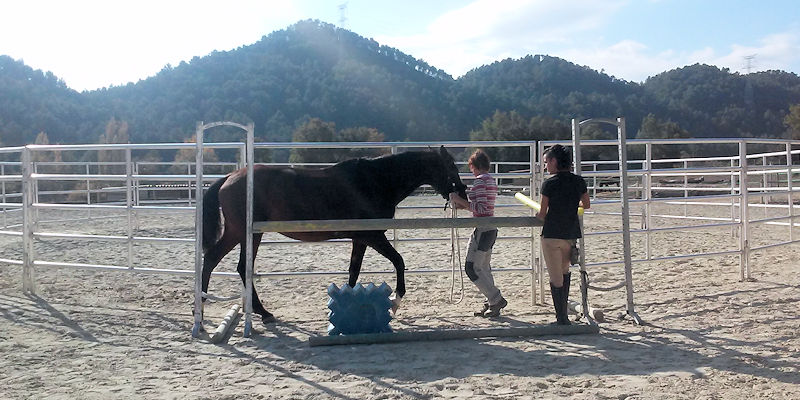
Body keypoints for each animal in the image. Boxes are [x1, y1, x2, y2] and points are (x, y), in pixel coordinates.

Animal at [198, 145, 468, 324]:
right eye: (451, 167)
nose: (464, 193)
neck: (377, 180)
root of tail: (229, 177)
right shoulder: (374, 236)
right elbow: (399, 261)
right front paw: (395, 302)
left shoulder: (361, 238)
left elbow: (353, 272)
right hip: (243, 233)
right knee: (224, 263)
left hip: (245, 234)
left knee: (228, 263)